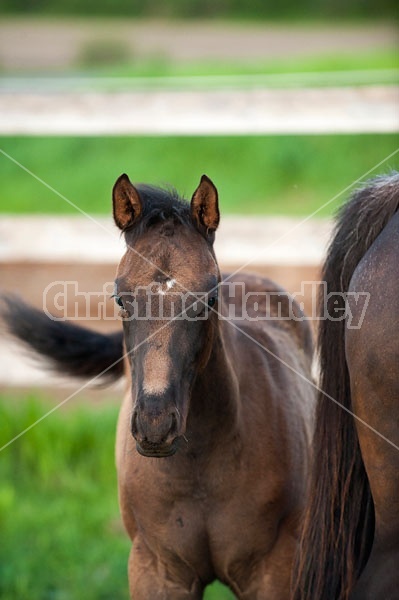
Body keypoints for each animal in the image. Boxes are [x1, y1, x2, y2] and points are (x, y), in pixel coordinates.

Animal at [2, 173, 316, 596]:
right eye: (120, 298)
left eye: (209, 298)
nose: (155, 425)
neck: (199, 468)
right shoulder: (157, 569)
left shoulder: (274, 570)